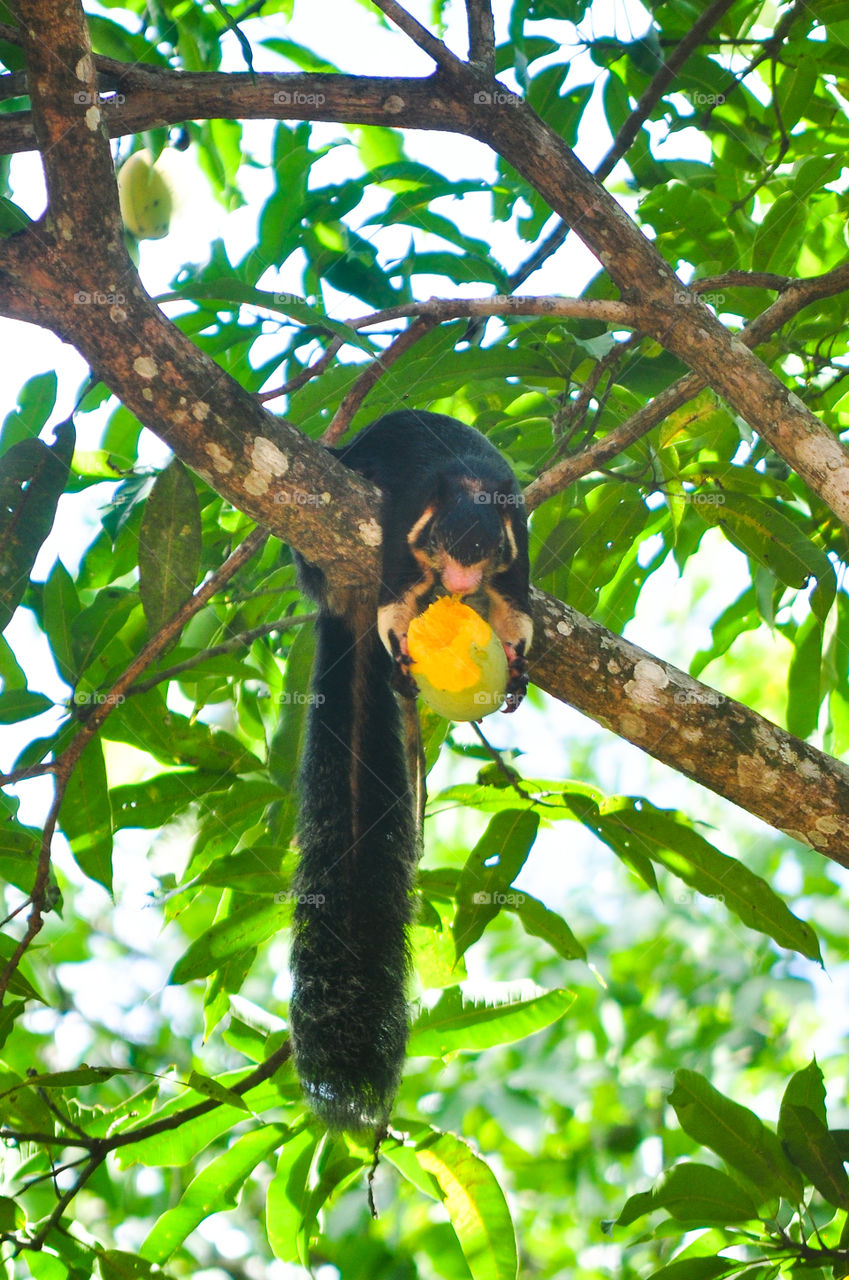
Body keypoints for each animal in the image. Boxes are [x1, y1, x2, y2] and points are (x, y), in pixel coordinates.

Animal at [289, 410, 533, 1129]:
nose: (459, 587)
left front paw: (518, 659)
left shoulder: (519, 532)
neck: (472, 487)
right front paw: (400, 645)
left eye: (480, 556)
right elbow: (397, 597)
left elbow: (515, 605)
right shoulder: (402, 521)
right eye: (443, 550)